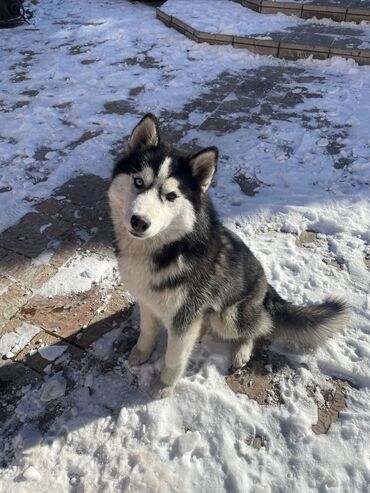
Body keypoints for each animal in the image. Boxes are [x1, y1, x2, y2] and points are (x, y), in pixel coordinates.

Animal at [107, 113, 350, 398]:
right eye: (138, 182)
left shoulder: (185, 318)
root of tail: (266, 288)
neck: (167, 249)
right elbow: (146, 331)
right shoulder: (148, 301)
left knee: (262, 326)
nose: (139, 222)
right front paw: (141, 353)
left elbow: (174, 358)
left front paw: (164, 387)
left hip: (229, 316)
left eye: (171, 196)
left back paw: (242, 351)